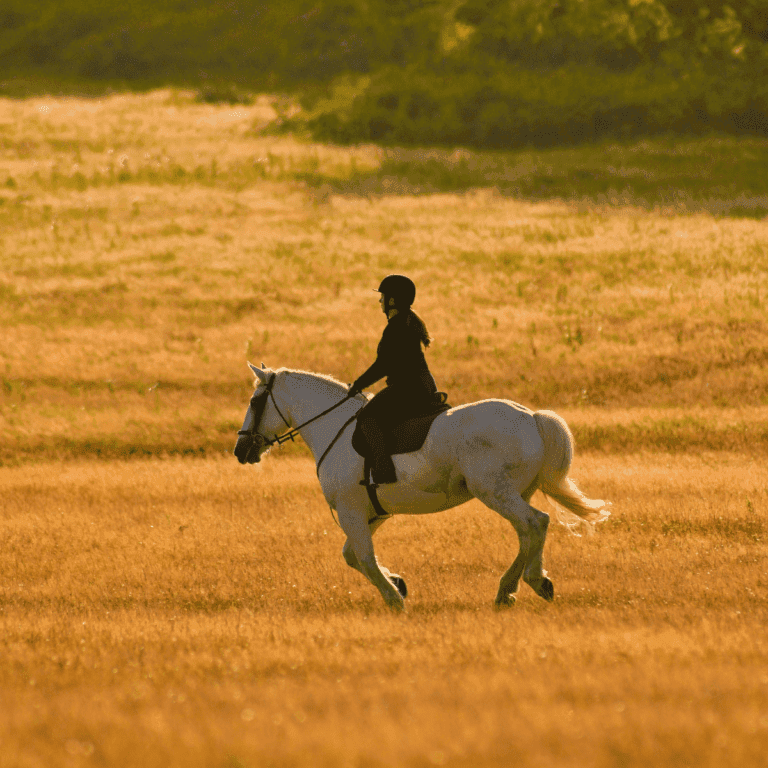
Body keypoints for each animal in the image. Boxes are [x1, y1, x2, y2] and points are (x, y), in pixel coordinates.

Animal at [234, 364, 610, 612]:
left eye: (254, 402)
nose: (241, 451)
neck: (332, 427)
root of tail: (531, 417)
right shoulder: (370, 513)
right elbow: (352, 555)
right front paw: (398, 583)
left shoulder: (352, 511)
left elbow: (364, 558)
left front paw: (394, 599)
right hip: (514, 493)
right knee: (531, 529)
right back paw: (527, 583)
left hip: (495, 492)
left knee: (534, 523)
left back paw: (516, 587)